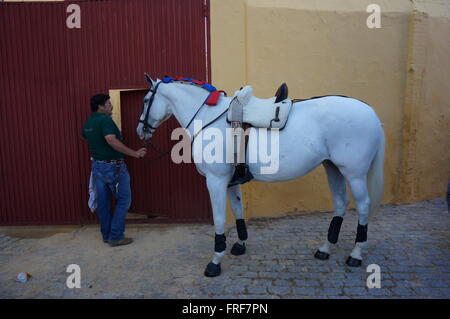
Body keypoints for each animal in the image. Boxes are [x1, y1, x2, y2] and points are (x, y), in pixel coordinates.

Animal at [136, 75, 384, 278]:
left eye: (146, 100)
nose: (140, 131)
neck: (209, 118)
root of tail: (371, 112)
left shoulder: (216, 180)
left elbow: (219, 219)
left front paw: (215, 261)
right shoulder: (231, 181)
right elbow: (238, 210)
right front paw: (240, 245)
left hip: (354, 174)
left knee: (363, 205)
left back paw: (356, 254)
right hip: (333, 167)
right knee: (340, 203)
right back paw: (324, 249)